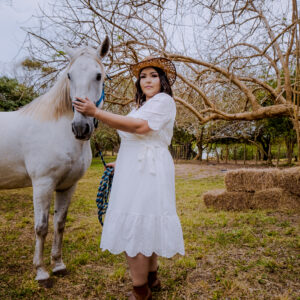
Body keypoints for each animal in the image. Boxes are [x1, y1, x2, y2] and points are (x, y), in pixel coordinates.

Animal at [0, 36, 110, 284]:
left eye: (98, 76)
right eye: (69, 76)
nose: (80, 128)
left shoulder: (67, 186)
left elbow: (59, 223)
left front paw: (58, 265)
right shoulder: (43, 184)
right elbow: (41, 227)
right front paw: (41, 272)